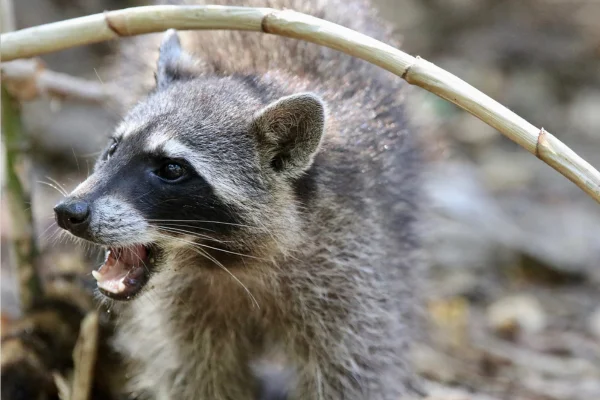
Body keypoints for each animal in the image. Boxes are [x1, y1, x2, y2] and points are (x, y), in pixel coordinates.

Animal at [54, 0, 424, 400]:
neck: (226, 259)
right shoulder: (180, 314)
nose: (69, 212)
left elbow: (352, 374)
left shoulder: (351, 275)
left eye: (171, 169)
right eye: (112, 149)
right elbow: (195, 377)